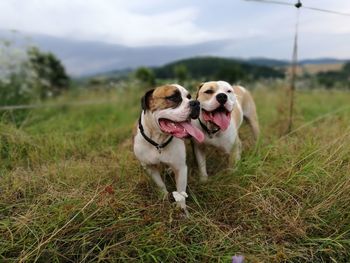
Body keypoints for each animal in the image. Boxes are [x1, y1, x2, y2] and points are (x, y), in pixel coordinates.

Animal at [134, 84, 205, 214]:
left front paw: (182, 210)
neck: (159, 141)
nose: (196, 103)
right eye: (173, 97)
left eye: (189, 97)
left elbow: (181, 192)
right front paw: (164, 197)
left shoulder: (180, 168)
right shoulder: (149, 167)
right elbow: (160, 184)